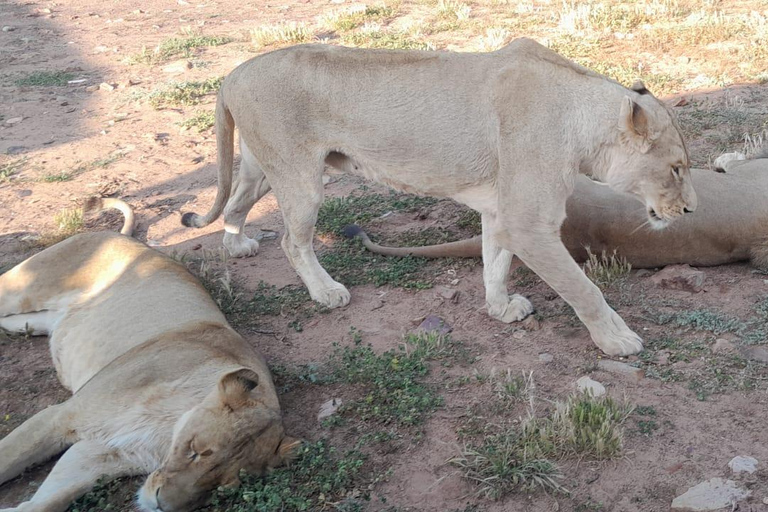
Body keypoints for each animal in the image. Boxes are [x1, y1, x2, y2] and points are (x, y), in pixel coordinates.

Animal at [0, 199, 296, 512]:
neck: (165, 433)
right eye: (196, 450)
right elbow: (8, 458)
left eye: (221, 487)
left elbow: (48, 501)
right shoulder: (62, 416)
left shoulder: (101, 453)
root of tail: (124, 237)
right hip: (22, 288)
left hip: (37, 320)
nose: (161, 505)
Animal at [183, 38, 700, 356]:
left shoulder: (502, 212)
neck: (581, 118)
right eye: (676, 168)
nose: (691, 209)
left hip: (260, 167)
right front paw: (616, 339)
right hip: (300, 176)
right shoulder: (529, 224)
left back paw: (237, 244)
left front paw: (500, 309)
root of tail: (232, 73)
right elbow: (583, 288)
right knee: (294, 241)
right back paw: (327, 293)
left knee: (235, 203)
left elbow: (495, 264)